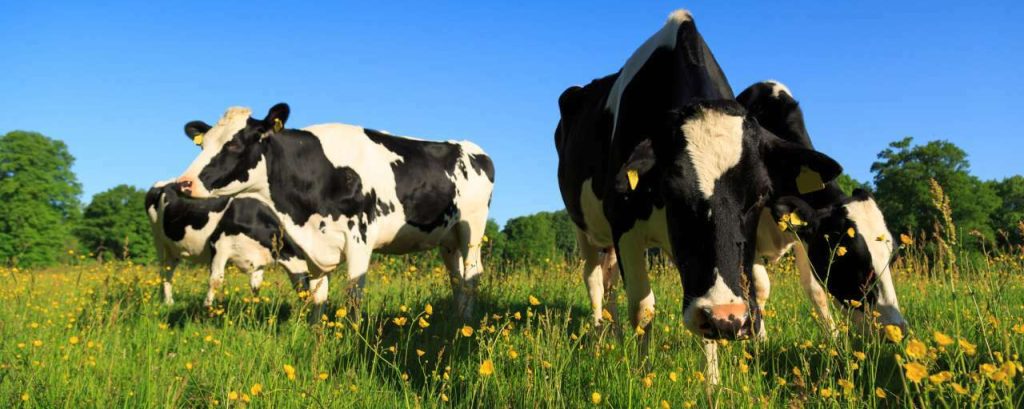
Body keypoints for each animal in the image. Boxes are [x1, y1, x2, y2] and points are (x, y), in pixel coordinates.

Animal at [146, 181, 309, 306]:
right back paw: (165, 301)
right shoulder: (219, 245)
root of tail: (165, 184)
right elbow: (215, 280)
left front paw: (253, 309)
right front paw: (207, 308)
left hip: (173, 250)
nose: (306, 305)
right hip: (158, 240)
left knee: (169, 271)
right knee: (163, 270)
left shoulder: (259, 261)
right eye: (308, 281)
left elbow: (256, 286)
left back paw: (168, 301)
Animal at [174, 104, 495, 322]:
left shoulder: (360, 238)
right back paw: (458, 320)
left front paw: (351, 338)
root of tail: (469, 148)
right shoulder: (313, 247)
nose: (184, 183)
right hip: (448, 239)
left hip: (472, 228)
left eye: (234, 143)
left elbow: (353, 295)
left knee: (472, 274)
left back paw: (465, 323)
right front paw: (317, 339)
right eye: (203, 144)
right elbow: (318, 298)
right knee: (456, 279)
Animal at [555, 9, 842, 379]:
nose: (726, 317)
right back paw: (600, 337)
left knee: (611, 284)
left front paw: (713, 382)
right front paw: (644, 376)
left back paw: (615, 337)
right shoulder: (623, 222)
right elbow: (643, 307)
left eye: (760, 195)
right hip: (586, 229)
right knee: (593, 280)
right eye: (672, 190)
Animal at [737, 80, 907, 338]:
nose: (897, 332)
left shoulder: (802, 234)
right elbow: (758, 286)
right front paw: (759, 339)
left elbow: (815, 290)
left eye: (892, 256)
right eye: (849, 259)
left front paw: (833, 337)